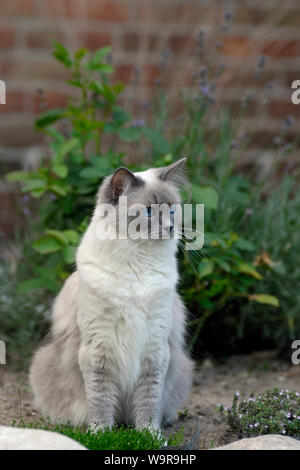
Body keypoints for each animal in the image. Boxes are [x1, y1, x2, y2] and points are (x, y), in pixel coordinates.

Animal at [29, 159, 193, 434]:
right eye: (149, 212)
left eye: (172, 210)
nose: (171, 228)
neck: (138, 263)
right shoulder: (99, 347)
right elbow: (101, 399)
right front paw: (101, 433)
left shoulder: (154, 347)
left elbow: (148, 402)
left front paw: (149, 434)